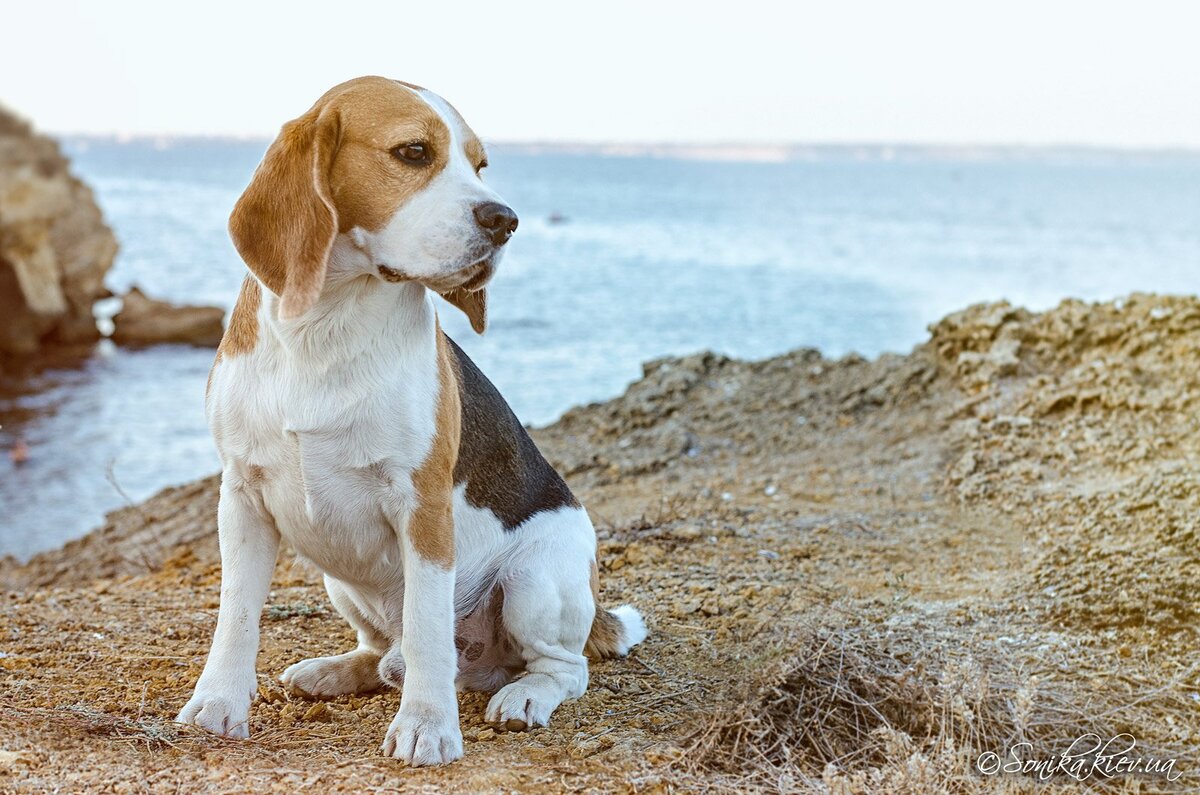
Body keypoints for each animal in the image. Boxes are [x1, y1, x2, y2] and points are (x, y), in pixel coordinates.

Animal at [175, 79, 648, 768]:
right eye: (414, 152)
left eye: (480, 166)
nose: (505, 220)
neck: (327, 324)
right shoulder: (241, 495)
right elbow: (236, 616)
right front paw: (218, 704)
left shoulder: (422, 508)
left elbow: (429, 628)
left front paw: (426, 725)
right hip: (338, 581)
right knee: (382, 653)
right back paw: (336, 670)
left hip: (537, 581)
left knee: (561, 667)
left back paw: (524, 696)